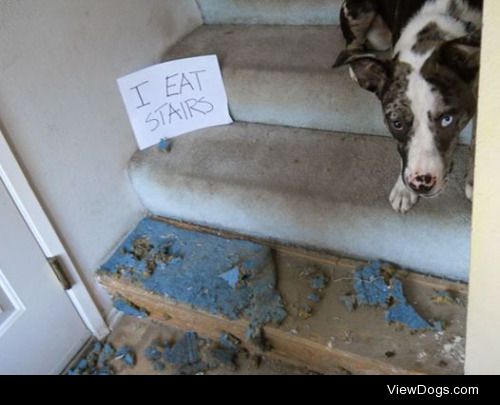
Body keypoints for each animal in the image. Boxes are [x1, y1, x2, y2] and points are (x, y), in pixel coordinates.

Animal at [334, 0, 482, 213]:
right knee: (352, 43)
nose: (420, 184)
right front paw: (403, 190)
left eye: (447, 119)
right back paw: (356, 64)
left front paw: (474, 181)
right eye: (396, 123)